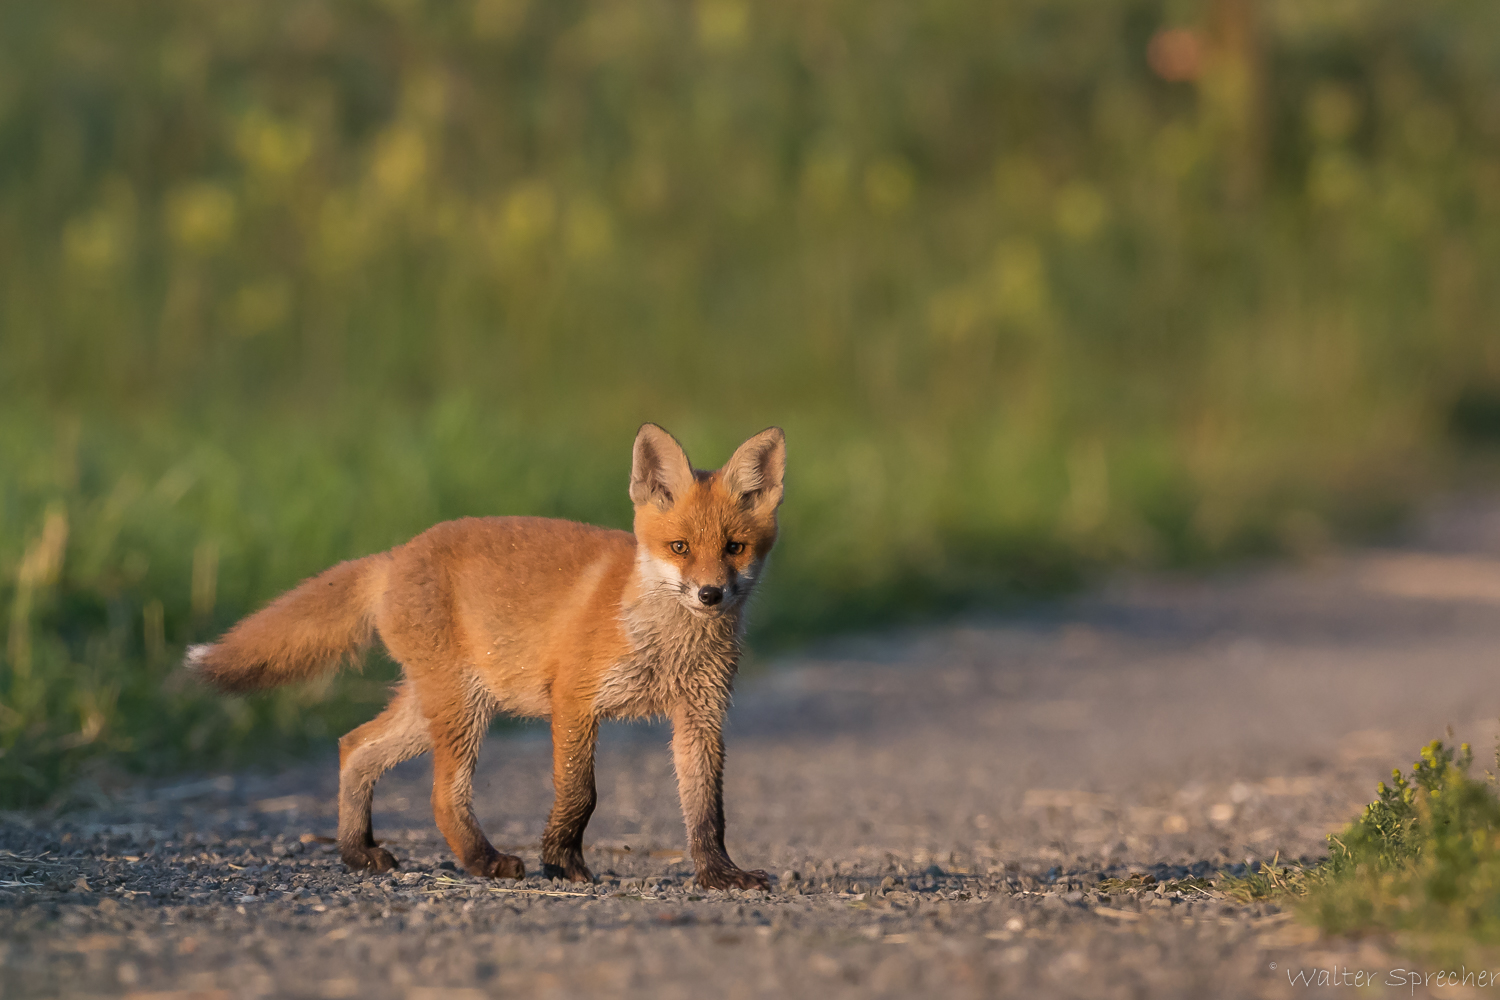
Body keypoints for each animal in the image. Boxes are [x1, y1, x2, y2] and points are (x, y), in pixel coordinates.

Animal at [187, 425, 786, 893]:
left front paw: (719, 874)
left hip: (435, 708)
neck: (666, 644)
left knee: (354, 747)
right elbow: (580, 793)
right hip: (462, 708)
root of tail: (395, 555)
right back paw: (483, 861)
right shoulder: (574, 701)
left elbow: (707, 810)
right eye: (680, 547)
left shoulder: (700, 715)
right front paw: (561, 863)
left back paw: (357, 852)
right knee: (440, 796)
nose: (710, 594)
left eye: (734, 548)